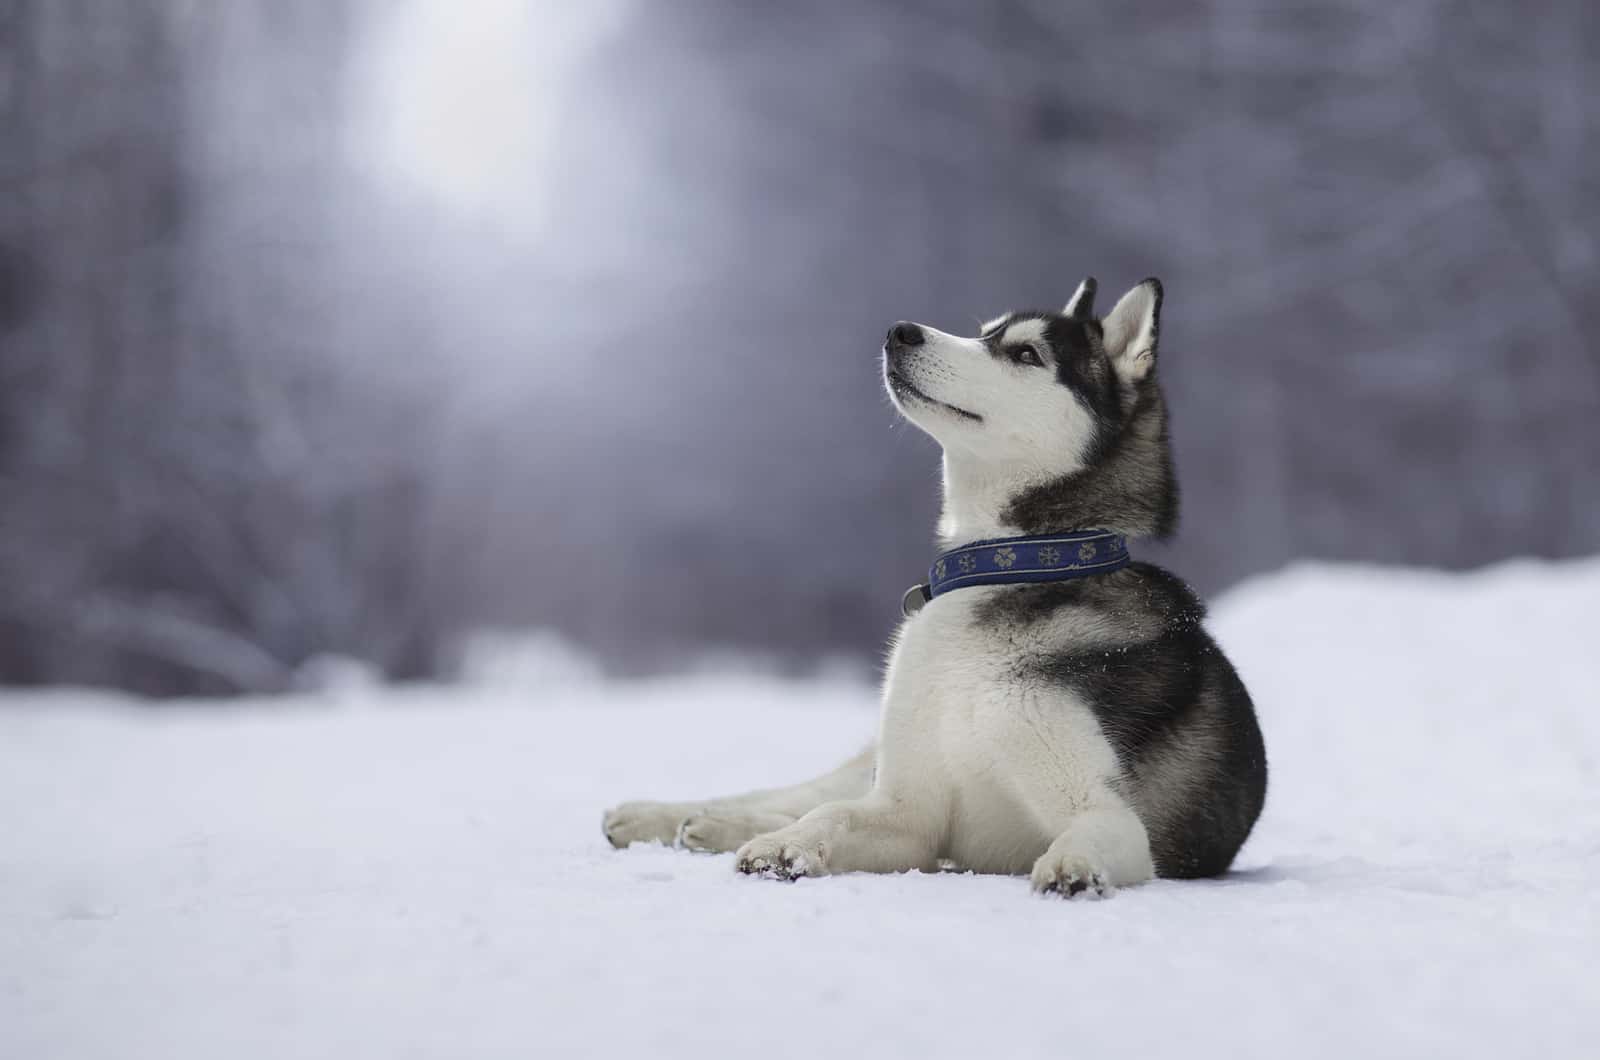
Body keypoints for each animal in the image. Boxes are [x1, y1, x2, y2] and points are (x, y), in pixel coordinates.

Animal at [604, 280, 1267, 896]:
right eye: (983, 331)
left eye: (1025, 353)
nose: (900, 331)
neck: (1009, 566)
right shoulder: (907, 810)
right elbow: (829, 813)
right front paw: (782, 846)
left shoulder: (1107, 815)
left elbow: (1092, 831)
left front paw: (1073, 865)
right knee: (798, 792)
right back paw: (669, 816)